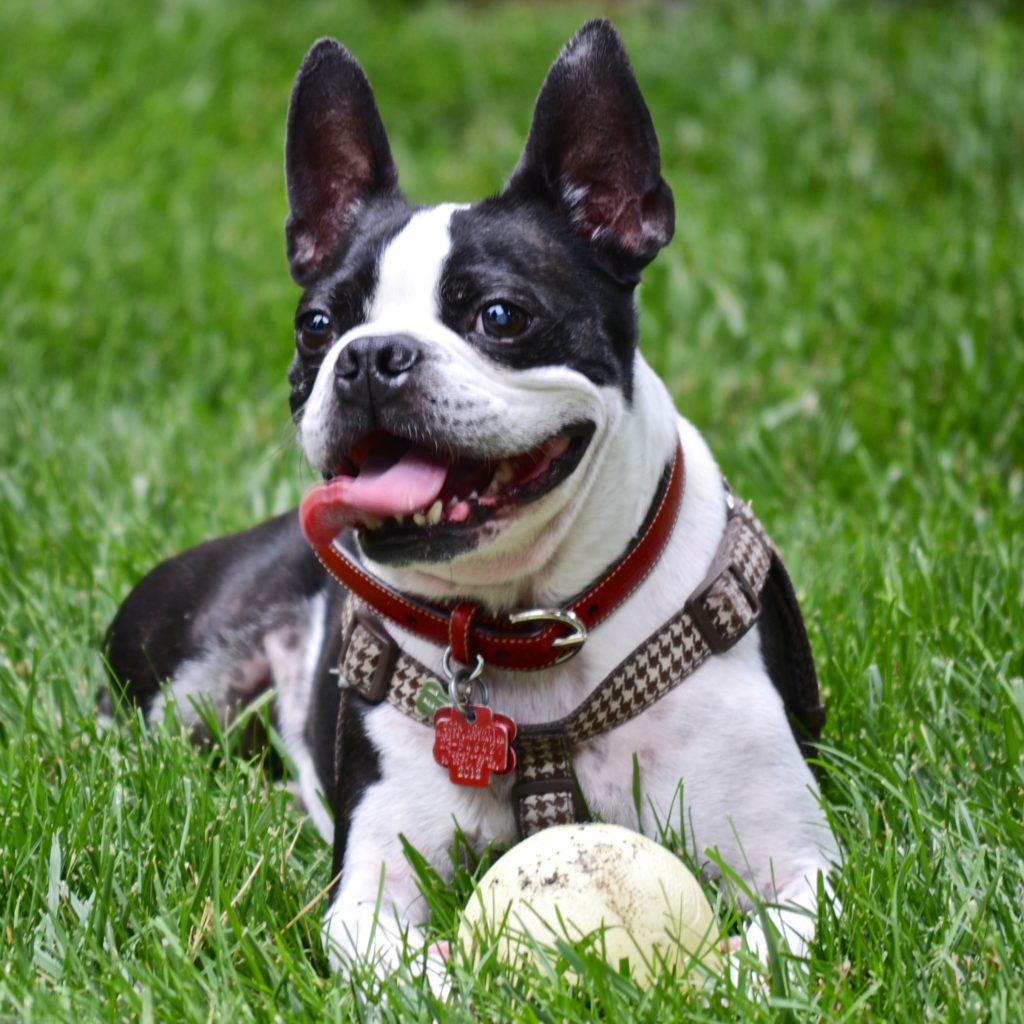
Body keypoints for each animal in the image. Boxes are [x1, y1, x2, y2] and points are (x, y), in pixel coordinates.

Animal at [103, 22, 839, 983]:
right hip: (185, 684)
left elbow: (758, 956)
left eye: (499, 315)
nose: (369, 356)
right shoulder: (370, 891)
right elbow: (419, 968)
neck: (527, 626)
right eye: (316, 326)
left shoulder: (800, 862)